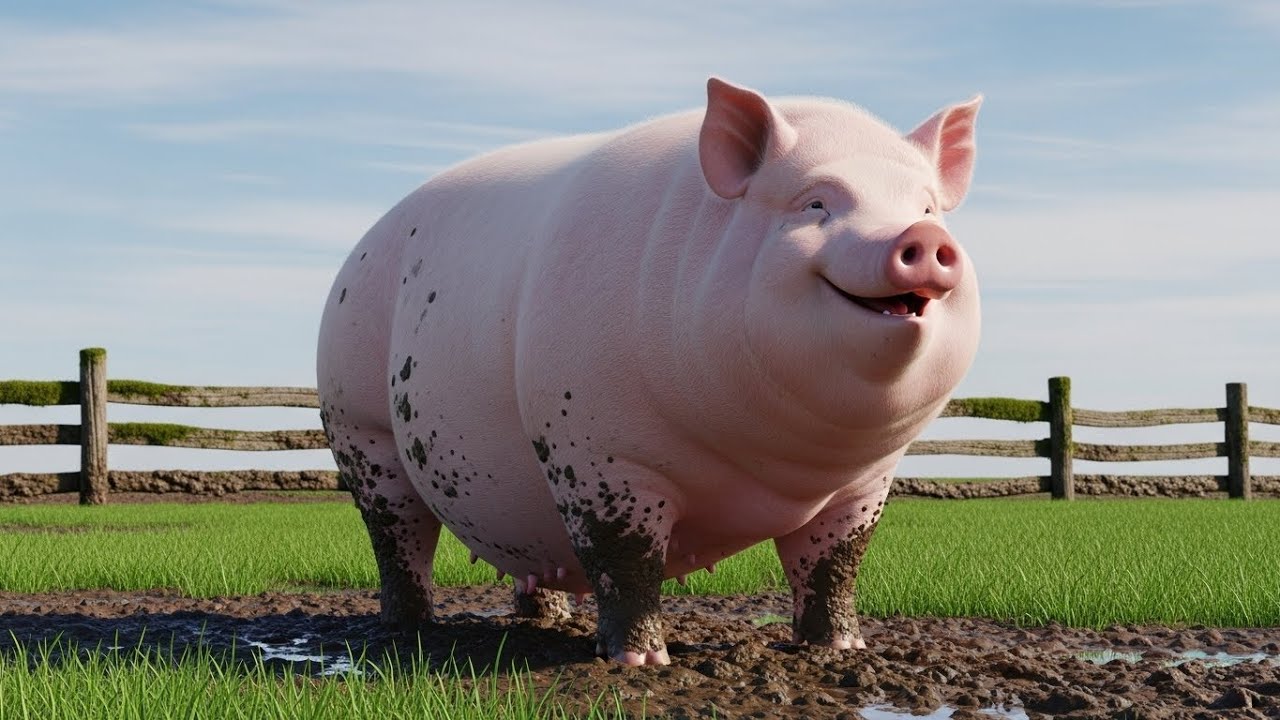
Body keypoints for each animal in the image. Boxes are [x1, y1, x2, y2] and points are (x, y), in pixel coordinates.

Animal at [317, 77, 982, 666]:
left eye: (926, 206)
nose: (924, 236)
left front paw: (842, 650)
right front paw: (641, 662)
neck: (773, 469)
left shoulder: (864, 486)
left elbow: (834, 565)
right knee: (398, 536)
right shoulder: (597, 454)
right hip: (359, 427)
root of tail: (357, 250)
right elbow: (627, 559)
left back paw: (543, 622)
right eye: (816, 203)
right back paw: (407, 628)